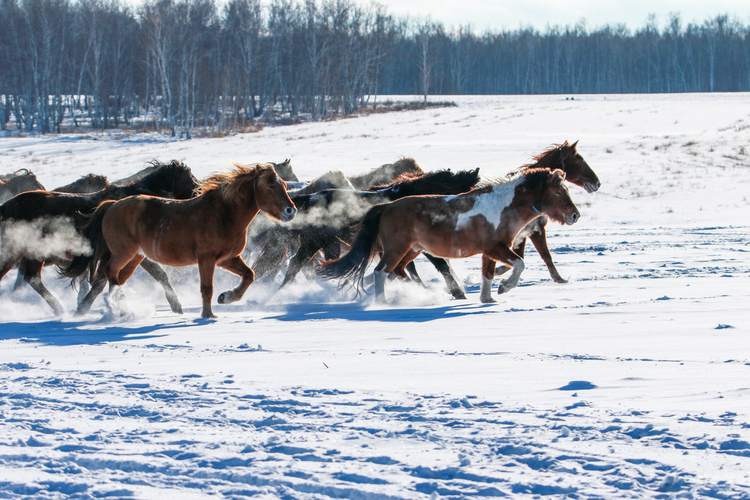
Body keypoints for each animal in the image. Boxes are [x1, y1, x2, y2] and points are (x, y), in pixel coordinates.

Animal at [64, 162, 298, 318]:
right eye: (271, 186)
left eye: (283, 184)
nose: (291, 210)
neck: (224, 213)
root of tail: (111, 205)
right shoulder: (206, 258)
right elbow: (206, 288)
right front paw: (208, 316)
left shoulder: (226, 259)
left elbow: (249, 275)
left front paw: (226, 297)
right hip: (124, 253)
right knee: (109, 273)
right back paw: (120, 308)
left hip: (135, 258)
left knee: (116, 278)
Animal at [318, 168, 580, 302]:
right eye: (559, 191)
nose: (575, 215)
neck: (504, 206)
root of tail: (386, 206)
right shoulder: (496, 247)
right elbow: (519, 264)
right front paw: (505, 287)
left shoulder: (490, 251)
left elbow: (488, 274)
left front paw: (488, 299)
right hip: (396, 248)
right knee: (381, 272)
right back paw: (383, 303)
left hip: (412, 250)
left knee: (399, 271)